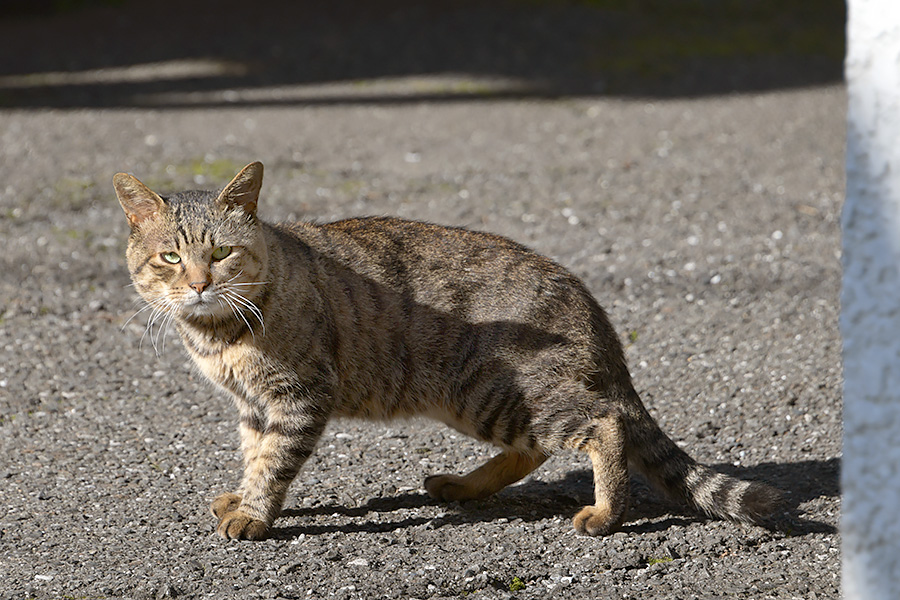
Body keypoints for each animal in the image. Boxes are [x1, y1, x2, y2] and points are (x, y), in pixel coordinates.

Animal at [116, 162, 780, 540]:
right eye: (170, 257)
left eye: (220, 253)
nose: (198, 284)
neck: (216, 334)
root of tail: (585, 297)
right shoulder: (254, 405)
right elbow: (255, 454)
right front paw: (244, 494)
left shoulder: (300, 395)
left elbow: (274, 462)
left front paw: (255, 515)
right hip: (482, 401)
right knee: (536, 447)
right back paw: (463, 487)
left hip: (493, 391)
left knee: (604, 423)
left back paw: (604, 512)